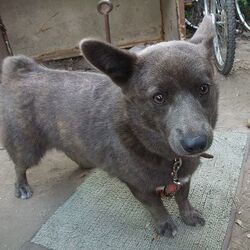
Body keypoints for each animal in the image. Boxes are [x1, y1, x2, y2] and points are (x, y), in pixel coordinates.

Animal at [0, 16, 217, 237]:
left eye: (203, 88)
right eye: (159, 97)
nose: (196, 144)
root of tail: (23, 71)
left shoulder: (184, 179)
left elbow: (183, 197)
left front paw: (188, 215)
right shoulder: (140, 188)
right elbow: (156, 207)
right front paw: (165, 223)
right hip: (27, 149)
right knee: (19, 165)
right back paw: (22, 187)